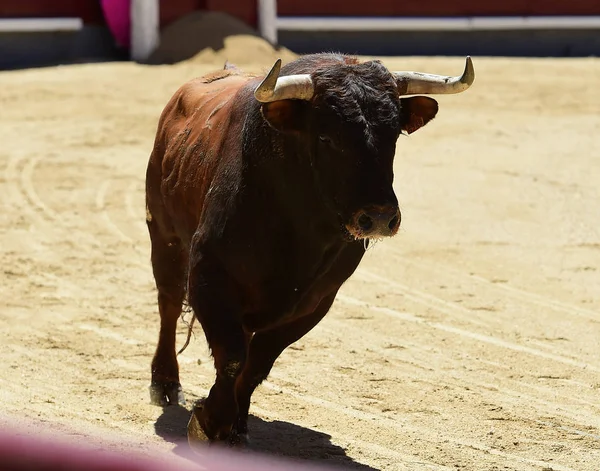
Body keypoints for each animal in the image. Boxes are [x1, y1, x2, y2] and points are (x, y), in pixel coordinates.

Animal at [145, 52, 474, 446]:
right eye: (326, 136)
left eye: (394, 133)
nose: (379, 217)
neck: (300, 228)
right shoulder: (209, 273)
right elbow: (233, 356)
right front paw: (211, 422)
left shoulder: (316, 301)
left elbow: (258, 362)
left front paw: (234, 423)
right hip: (164, 236)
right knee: (168, 303)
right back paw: (165, 384)